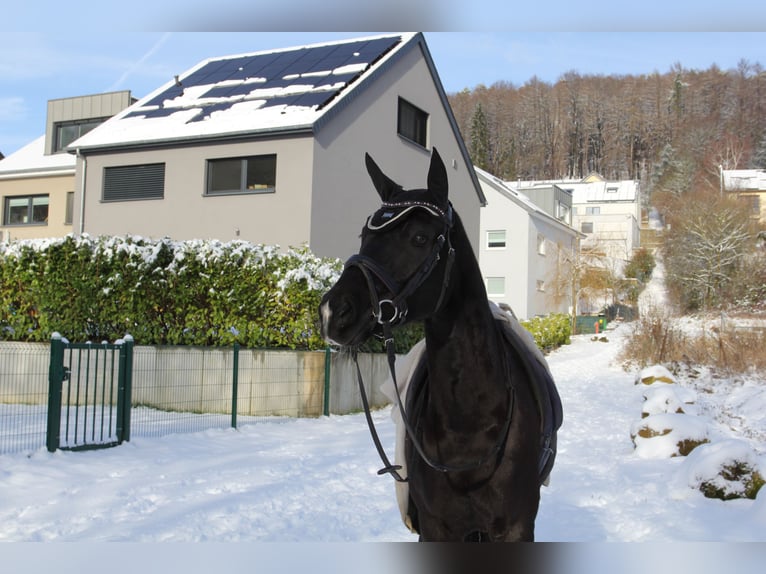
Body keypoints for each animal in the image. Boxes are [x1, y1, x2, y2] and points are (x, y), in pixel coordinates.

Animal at [320, 148, 564, 544]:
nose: (332, 312)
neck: (469, 423)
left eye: (420, 237)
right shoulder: (435, 526)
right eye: (363, 235)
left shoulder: (516, 528)